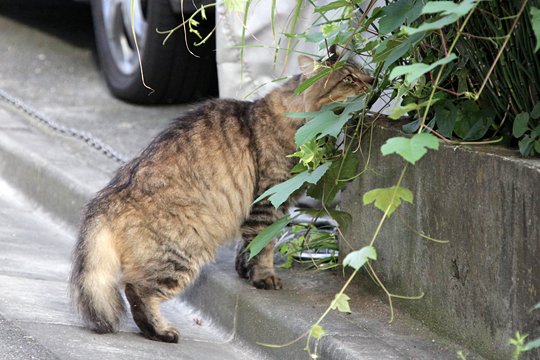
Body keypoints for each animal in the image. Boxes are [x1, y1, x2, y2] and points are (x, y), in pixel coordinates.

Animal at [69, 53, 374, 344]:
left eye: (363, 72)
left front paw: (244, 268)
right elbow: (264, 243)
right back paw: (161, 332)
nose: (373, 82)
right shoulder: (269, 198)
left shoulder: (264, 206)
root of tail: (108, 197)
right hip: (182, 250)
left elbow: (249, 243)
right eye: (349, 79)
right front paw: (263, 277)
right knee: (137, 290)